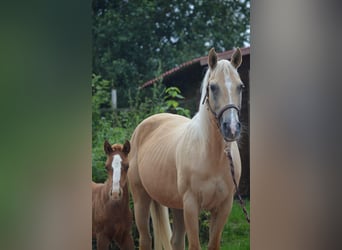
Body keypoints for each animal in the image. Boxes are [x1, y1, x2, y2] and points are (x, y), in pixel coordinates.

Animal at [127, 47, 243, 249]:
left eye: (241, 86)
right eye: (213, 87)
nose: (232, 128)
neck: (211, 156)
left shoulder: (224, 206)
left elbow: (213, 244)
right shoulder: (191, 204)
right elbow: (194, 245)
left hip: (176, 205)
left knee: (176, 240)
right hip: (141, 198)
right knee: (145, 238)